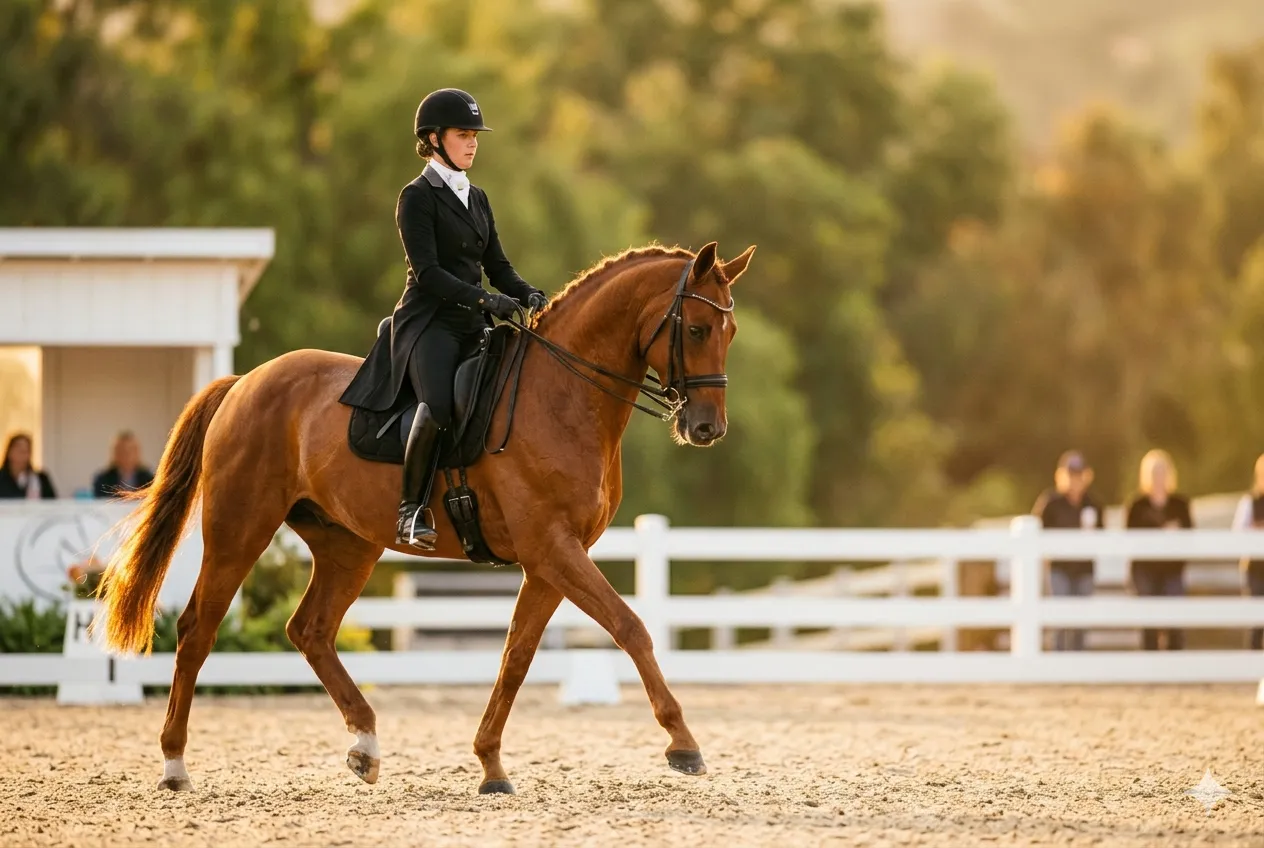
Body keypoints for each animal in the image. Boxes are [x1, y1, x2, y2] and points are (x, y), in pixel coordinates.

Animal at [92, 240, 756, 795]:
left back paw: (365, 745)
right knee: (198, 629)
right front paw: (684, 745)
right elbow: (631, 627)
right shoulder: (553, 548)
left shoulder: (550, 561)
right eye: (697, 327)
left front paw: (491, 766)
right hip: (239, 529)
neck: (564, 398)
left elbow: (516, 657)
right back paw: (174, 764)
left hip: (348, 544)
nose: (707, 428)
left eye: (731, 330)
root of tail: (244, 382)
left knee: (310, 630)